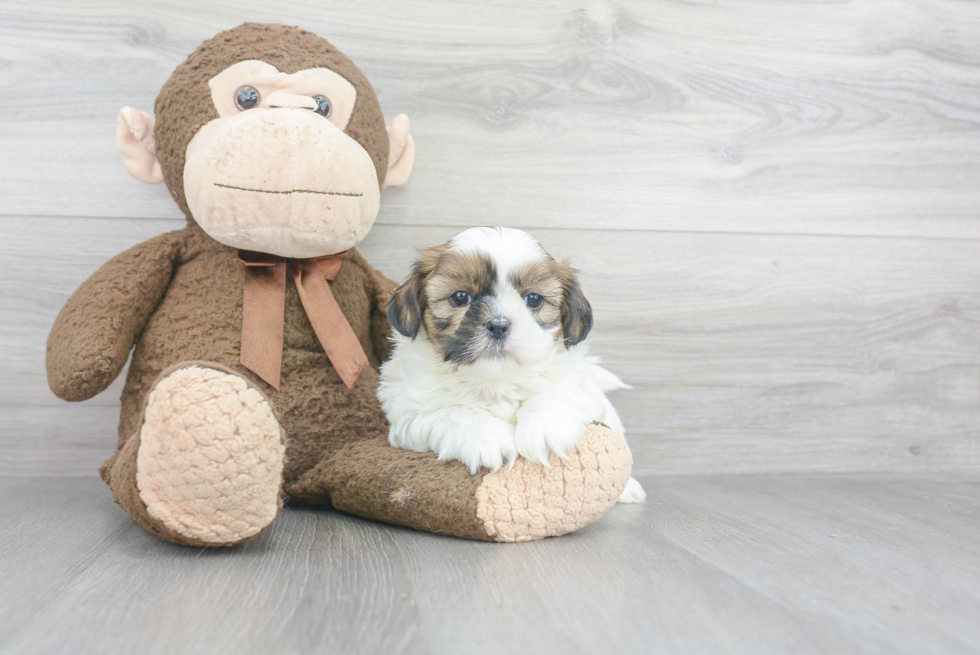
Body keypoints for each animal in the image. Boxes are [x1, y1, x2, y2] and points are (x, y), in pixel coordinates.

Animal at [378, 228, 648, 504]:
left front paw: (545, 428)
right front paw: (489, 438)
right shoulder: (409, 409)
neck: (496, 381)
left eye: (534, 299)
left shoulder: (576, 383)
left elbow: (555, 392)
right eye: (460, 297)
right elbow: (452, 411)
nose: (498, 325)